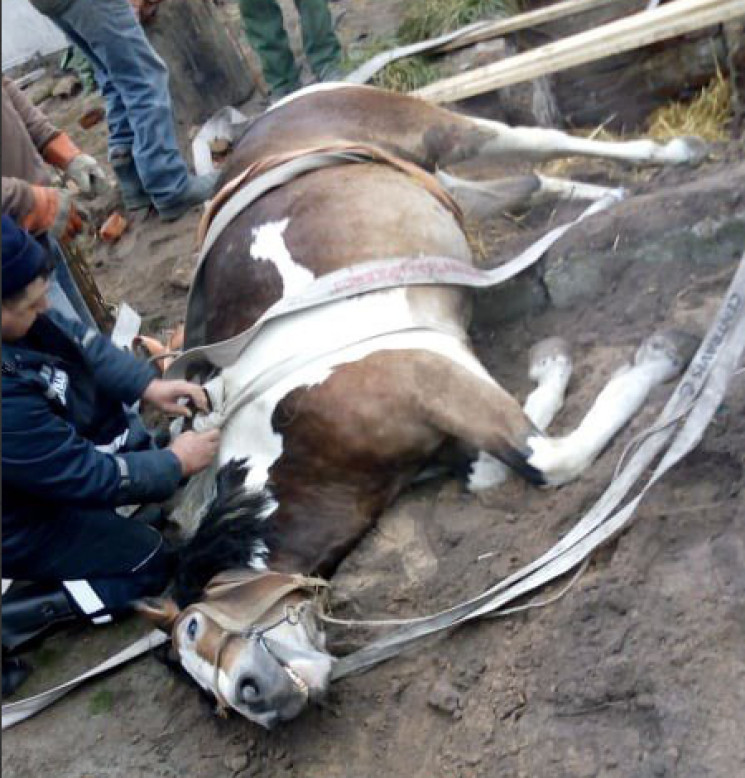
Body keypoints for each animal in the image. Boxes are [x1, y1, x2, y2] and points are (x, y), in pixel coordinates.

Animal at [141, 85, 704, 728]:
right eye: (215, 704)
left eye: (195, 627)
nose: (254, 697)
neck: (292, 432)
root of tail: (270, 112)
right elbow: (495, 466)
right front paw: (552, 369)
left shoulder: (430, 374)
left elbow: (547, 459)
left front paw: (655, 358)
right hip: (441, 187)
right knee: (527, 183)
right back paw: (601, 201)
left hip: (439, 130)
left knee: (537, 142)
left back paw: (676, 153)